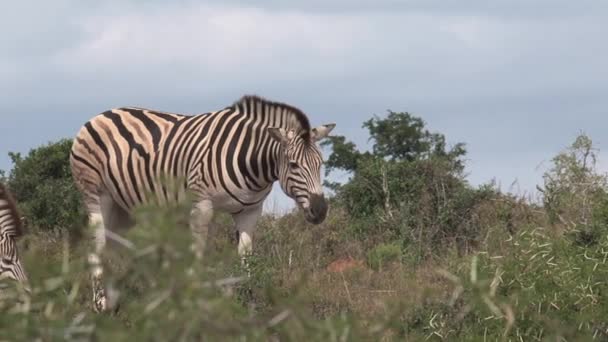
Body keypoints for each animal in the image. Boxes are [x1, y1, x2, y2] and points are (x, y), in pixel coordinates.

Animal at [72, 94, 338, 312]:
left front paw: (247, 299)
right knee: (97, 246)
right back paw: (100, 304)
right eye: (293, 165)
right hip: (97, 194)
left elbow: (245, 258)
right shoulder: (201, 204)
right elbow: (198, 254)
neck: (251, 160)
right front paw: (195, 299)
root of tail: (101, 114)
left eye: (321, 164)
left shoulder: (250, 211)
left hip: (123, 207)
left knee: (114, 247)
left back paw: (116, 300)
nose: (320, 211)